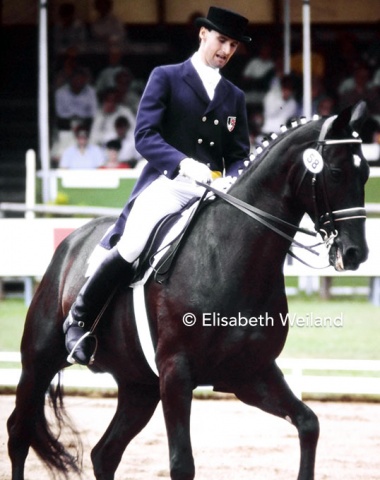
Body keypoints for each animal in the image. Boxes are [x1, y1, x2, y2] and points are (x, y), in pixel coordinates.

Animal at [6, 103, 368, 478]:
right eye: (336, 172)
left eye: (367, 173)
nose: (355, 253)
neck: (229, 257)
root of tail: (72, 240)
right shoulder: (176, 372)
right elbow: (182, 464)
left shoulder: (250, 373)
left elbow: (308, 423)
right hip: (38, 362)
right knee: (19, 433)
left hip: (138, 386)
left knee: (104, 453)